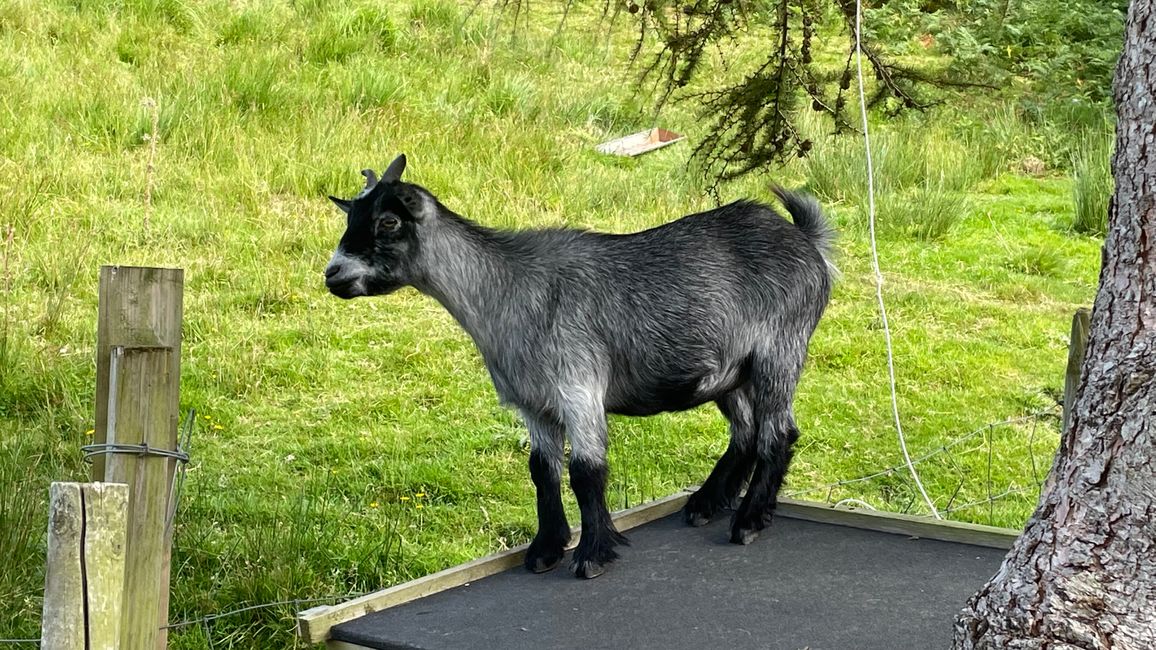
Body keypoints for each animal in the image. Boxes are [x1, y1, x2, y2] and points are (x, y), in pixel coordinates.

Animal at [323, 152, 832, 575]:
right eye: (351, 217)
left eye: (389, 221)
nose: (333, 274)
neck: (506, 288)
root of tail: (806, 240)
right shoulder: (534, 403)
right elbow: (541, 470)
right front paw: (546, 548)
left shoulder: (578, 386)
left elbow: (586, 471)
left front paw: (592, 555)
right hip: (730, 373)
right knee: (745, 430)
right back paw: (707, 503)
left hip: (779, 351)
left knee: (777, 432)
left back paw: (748, 520)